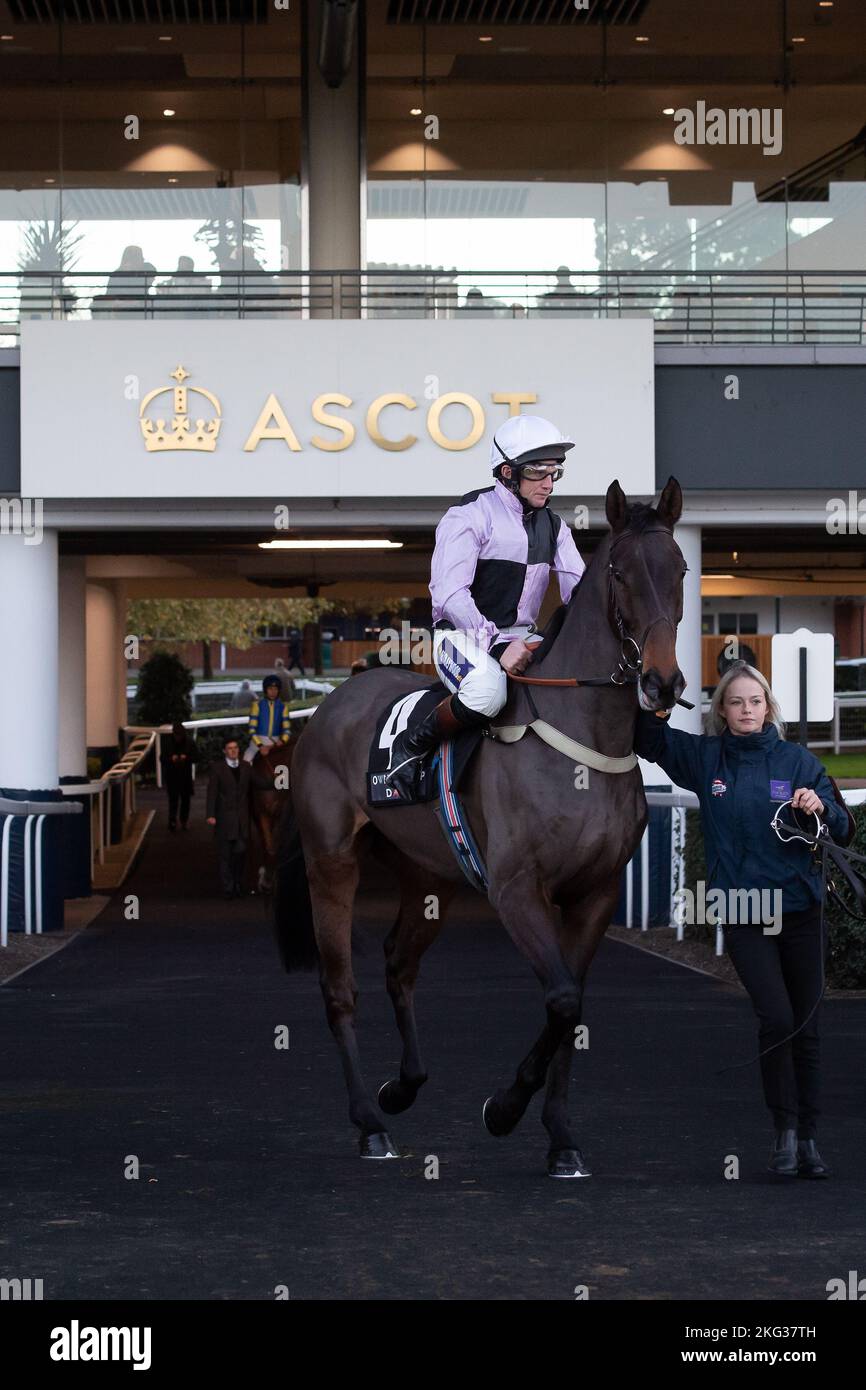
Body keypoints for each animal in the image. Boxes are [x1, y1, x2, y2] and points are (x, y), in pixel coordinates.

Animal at [273, 478, 686, 1173]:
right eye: (621, 574)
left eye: (680, 570)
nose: (662, 682)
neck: (582, 742)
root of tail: (327, 709)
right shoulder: (517, 889)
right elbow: (561, 998)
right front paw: (504, 1108)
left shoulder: (595, 894)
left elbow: (572, 1007)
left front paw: (561, 1138)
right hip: (332, 860)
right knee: (339, 986)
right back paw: (368, 1125)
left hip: (429, 876)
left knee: (398, 961)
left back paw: (401, 1088)